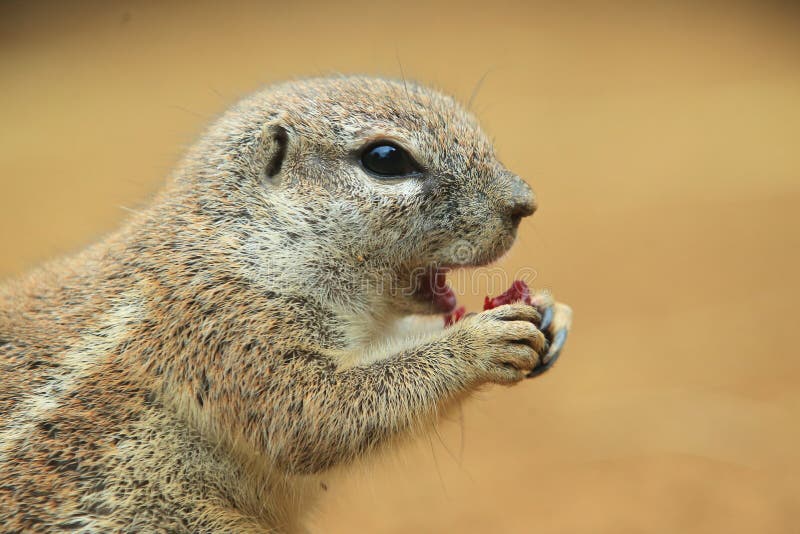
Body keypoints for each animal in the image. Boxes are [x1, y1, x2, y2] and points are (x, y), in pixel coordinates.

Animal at [0, 76, 572, 532]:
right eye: (386, 159)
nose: (524, 202)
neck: (255, 240)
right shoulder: (225, 320)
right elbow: (312, 414)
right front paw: (481, 340)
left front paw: (550, 312)